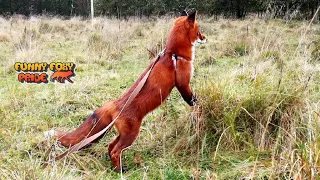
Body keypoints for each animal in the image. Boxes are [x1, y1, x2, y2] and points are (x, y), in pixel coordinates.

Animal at [45, 10, 208, 172]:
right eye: (199, 31)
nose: (206, 38)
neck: (174, 54)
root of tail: (113, 104)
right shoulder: (183, 84)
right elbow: (190, 98)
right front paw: (198, 105)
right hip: (131, 135)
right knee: (115, 151)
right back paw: (120, 171)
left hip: (123, 135)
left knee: (110, 147)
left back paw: (118, 168)